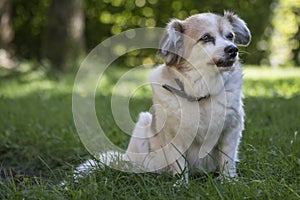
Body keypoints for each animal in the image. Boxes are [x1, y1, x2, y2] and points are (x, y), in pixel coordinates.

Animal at [73, 10, 251, 183]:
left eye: (230, 36)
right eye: (206, 37)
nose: (233, 49)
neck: (200, 92)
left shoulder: (231, 130)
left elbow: (227, 160)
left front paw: (229, 181)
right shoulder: (174, 137)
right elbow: (180, 165)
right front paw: (181, 185)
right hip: (143, 124)